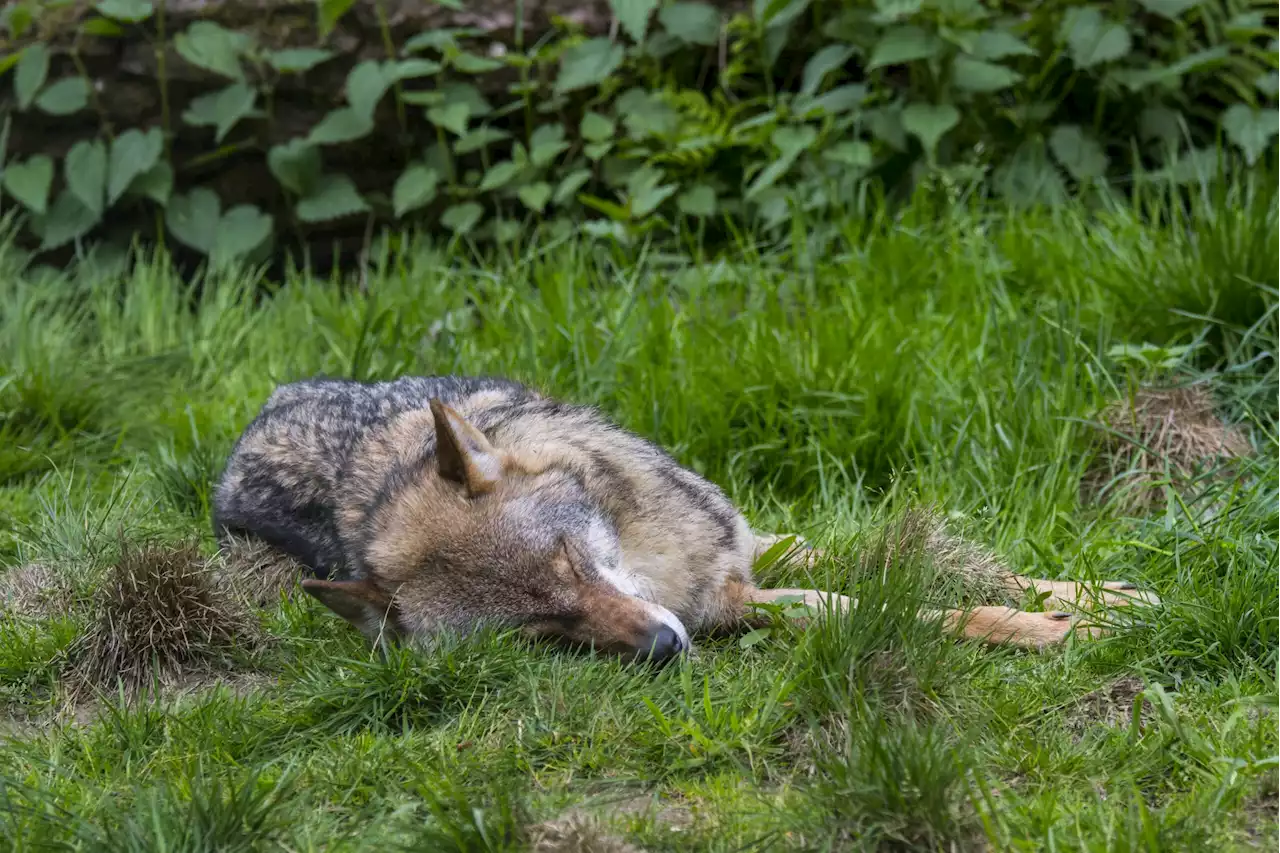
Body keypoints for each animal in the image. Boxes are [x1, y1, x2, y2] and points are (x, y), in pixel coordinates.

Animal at [212, 376, 1162, 660]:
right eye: (541, 629)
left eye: (570, 562)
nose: (662, 646)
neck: (659, 565)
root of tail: (257, 413)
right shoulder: (748, 599)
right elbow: (932, 609)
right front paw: (1058, 631)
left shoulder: (756, 544)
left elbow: (967, 569)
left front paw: (1106, 596)